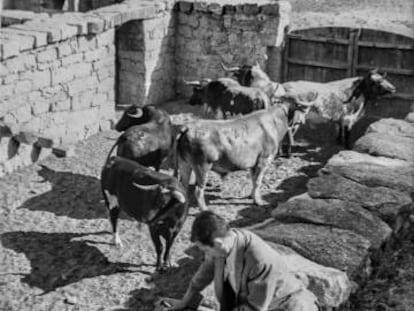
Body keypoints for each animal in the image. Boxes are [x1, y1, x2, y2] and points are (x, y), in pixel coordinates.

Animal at [175, 101, 308, 211]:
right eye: (300, 109)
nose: (303, 121)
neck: (274, 124)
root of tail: (187, 127)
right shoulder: (263, 160)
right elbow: (258, 181)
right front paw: (258, 202)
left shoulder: (253, 164)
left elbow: (253, 180)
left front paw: (251, 196)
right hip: (202, 165)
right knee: (198, 190)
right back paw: (204, 209)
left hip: (184, 163)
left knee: (183, 186)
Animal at [225, 63, 396, 149]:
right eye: (376, 81)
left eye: (382, 79)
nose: (393, 89)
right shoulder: (348, 118)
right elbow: (347, 134)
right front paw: (346, 146)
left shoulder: (341, 119)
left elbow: (339, 131)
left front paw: (338, 143)